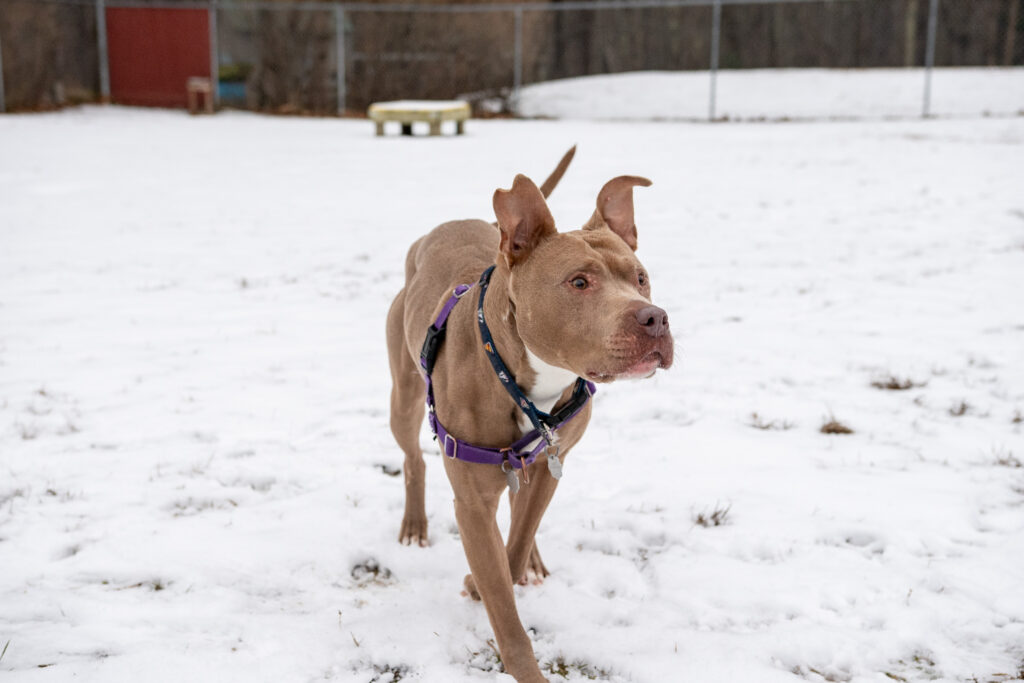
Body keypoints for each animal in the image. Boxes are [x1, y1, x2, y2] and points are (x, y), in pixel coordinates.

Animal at [385, 147, 671, 679]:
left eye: (640, 277)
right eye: (579, 281)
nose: (655, 317)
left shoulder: (552, 464)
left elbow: (514, 549)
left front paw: (494, 575)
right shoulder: (473, 502)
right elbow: (502, 601)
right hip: (404, 395)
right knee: (412, 457)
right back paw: (414, 526)